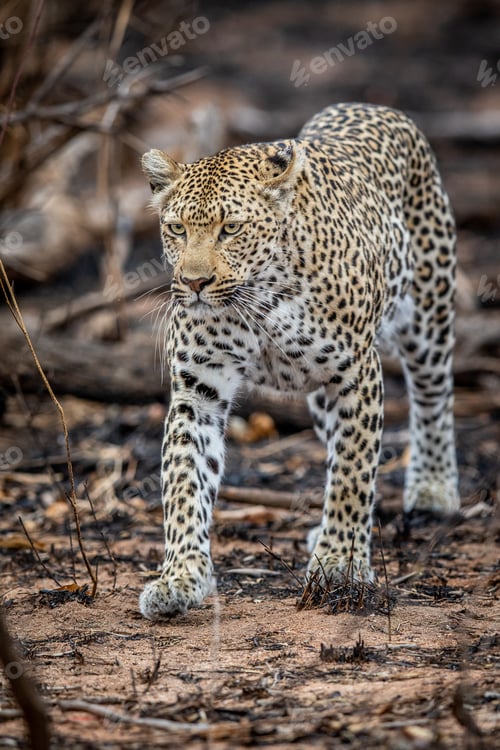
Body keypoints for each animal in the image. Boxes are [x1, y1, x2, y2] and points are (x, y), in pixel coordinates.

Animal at [139, 102, 459, 620]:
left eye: (232, 228)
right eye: (176, 229)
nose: (194, 283)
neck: (259, 301)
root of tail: (371, 105)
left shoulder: (356, 373)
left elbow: (352, 473)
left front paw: (340, 564)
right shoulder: (198, 391)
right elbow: (184, 481)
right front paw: (180, 577)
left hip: (429, 316)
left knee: (433, 396)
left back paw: (433, 488)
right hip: (321, 393)